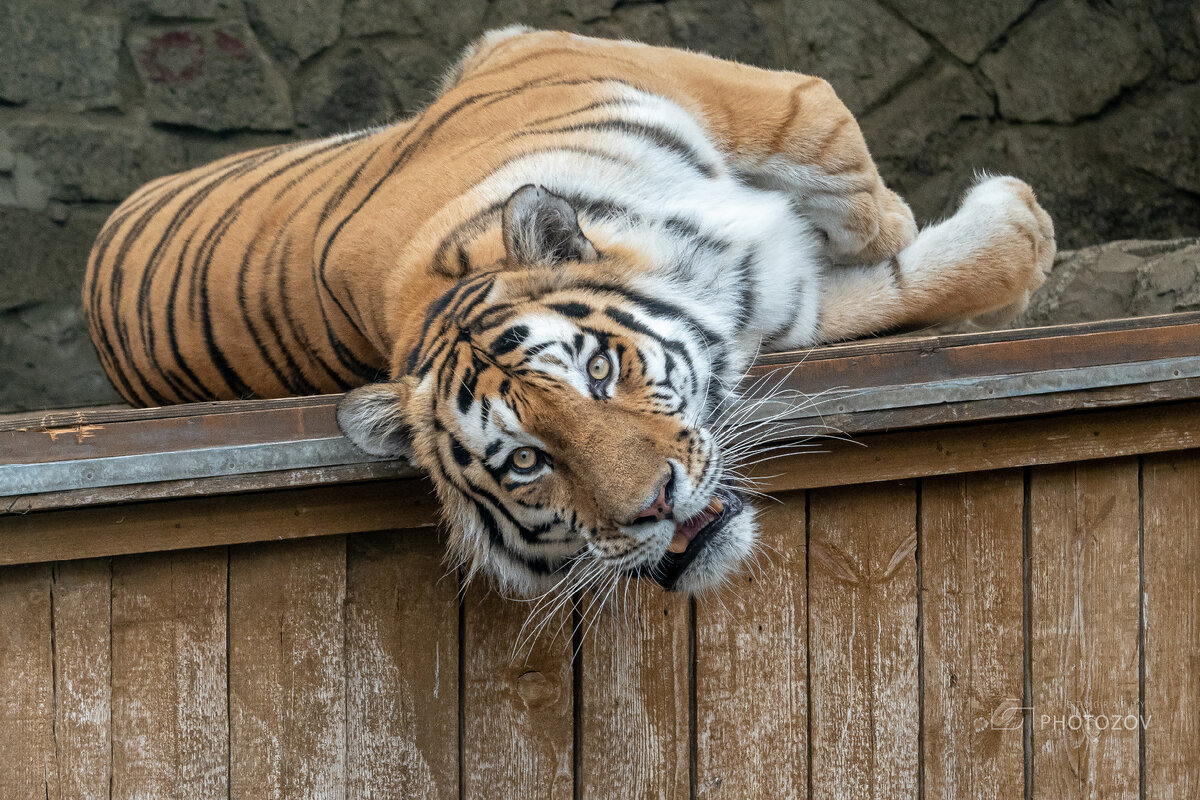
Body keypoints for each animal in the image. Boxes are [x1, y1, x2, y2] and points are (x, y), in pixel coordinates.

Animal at [84, 25, 1056, 597]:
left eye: (598, 368)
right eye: (524, 461)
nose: (655, 508)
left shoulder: (623, 64)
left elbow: (830, 146)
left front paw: (937, 218)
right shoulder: (790, 301)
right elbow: (911, 270)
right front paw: (1019, 223)